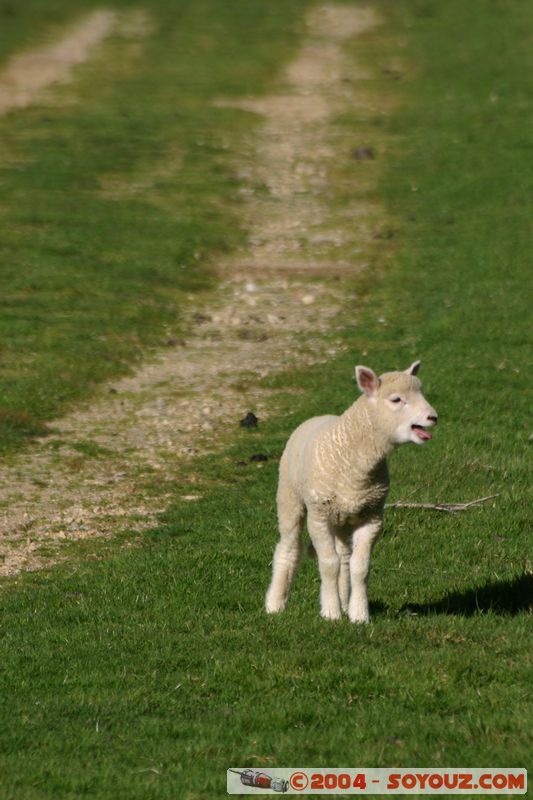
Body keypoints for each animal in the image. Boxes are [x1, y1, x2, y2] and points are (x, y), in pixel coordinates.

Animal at [264, 360, 436, 620]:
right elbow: (328, 564)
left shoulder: (372, 516)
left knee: (344, 557)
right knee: (289, 547)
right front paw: (330, 613)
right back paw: (275, 604)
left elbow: (360, 567)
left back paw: (344, 601)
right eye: (396, 400)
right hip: (290, 496)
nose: (433, 417)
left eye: (422, 392)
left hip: (343, 517)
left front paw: (358, 614)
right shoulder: (319, 516)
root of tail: (318, 416)